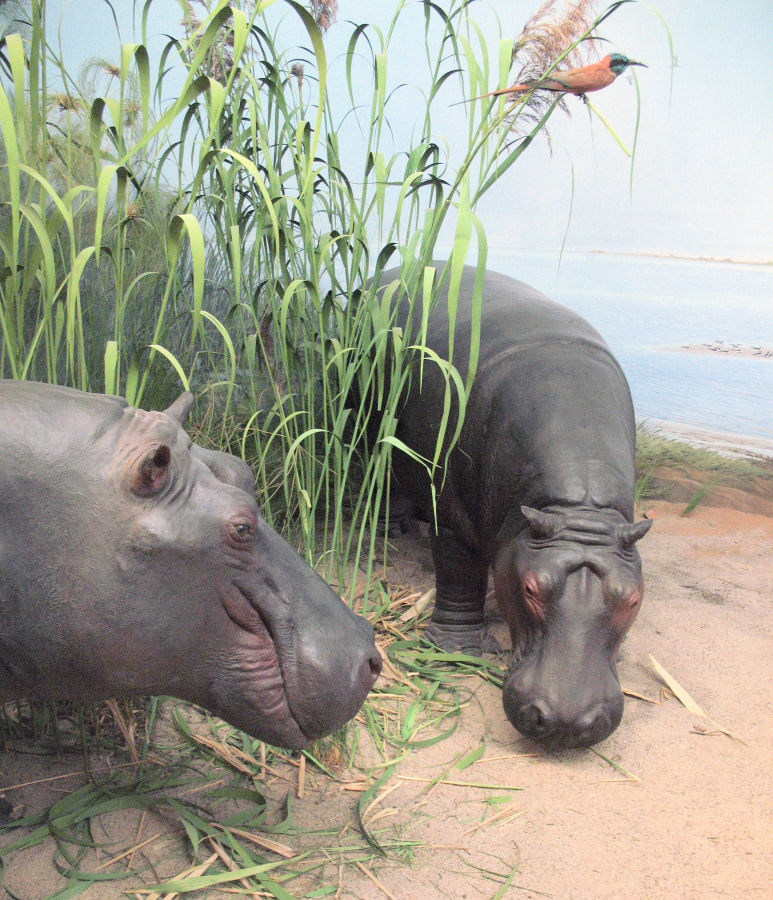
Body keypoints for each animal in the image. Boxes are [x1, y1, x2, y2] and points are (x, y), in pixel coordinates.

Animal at [380, 264, 652, 748]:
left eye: (632, 599)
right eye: (530, 588)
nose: (567, 723)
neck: (576, 508)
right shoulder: (455, 514)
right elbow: (458, 571)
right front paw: (457, 652)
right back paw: (391, 527)